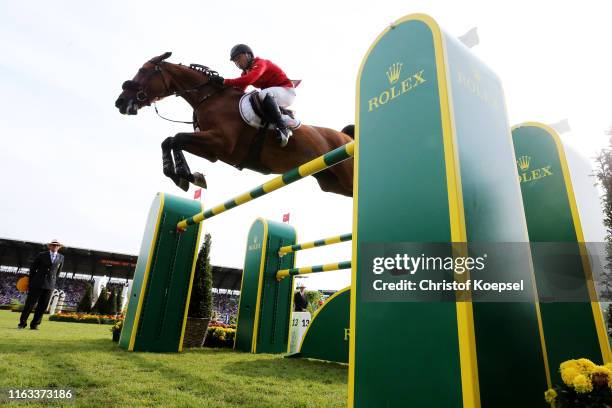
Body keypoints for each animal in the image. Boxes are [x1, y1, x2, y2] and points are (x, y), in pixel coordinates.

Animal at [115, 51, 354, 198]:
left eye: (143, 71)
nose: (120, 102)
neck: (208, 98)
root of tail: (346, 136)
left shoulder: (220, 143)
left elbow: (177, 138)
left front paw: (185, 175)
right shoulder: (212, 152)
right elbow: (170, 141)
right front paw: (185, 177)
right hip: (331, 182)